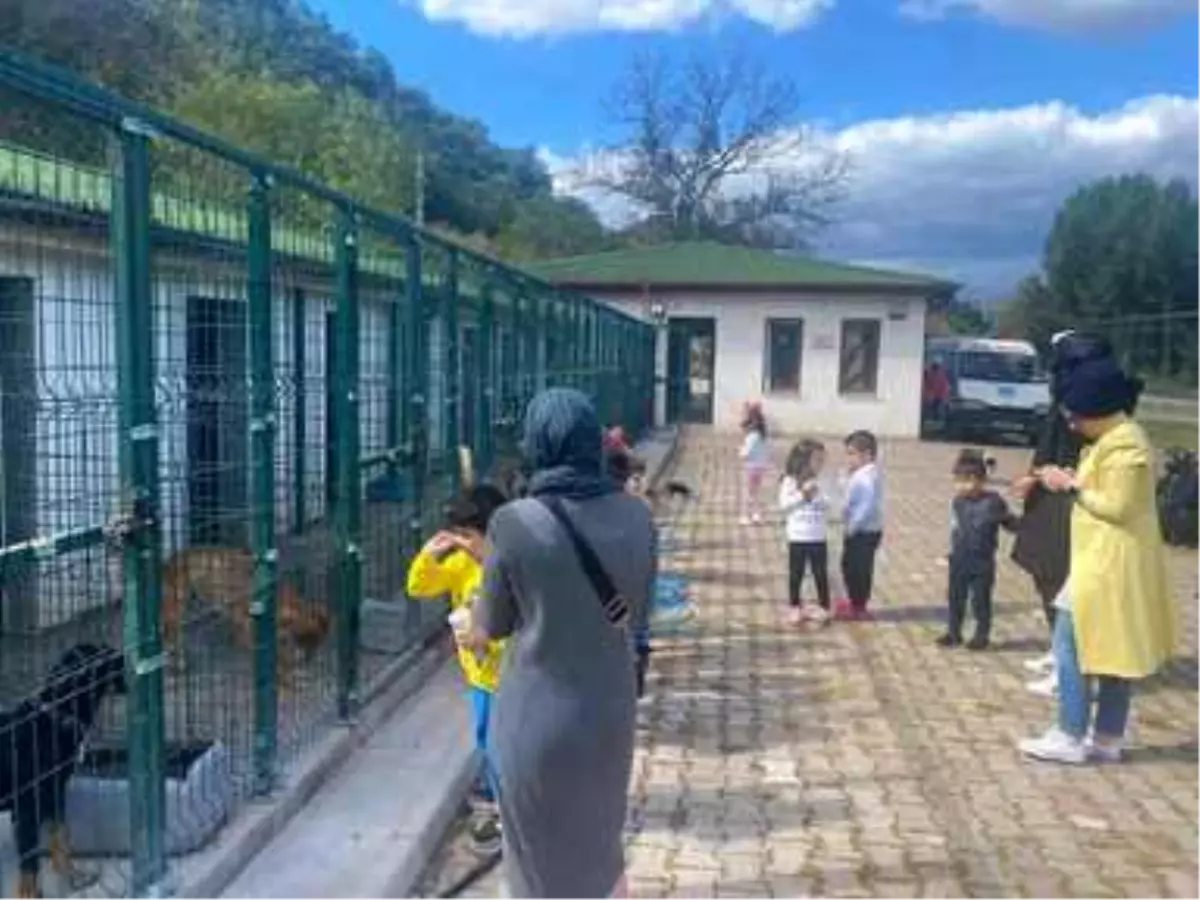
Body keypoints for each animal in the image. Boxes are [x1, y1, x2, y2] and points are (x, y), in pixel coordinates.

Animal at [0, 643, 125, 900]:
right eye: (107, 656)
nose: (125, 656)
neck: (58, 717)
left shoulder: (54, 796)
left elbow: (61, 839)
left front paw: (73, 875)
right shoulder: (27, 807)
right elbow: (29, 859)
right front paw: (28, 894)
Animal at [159, 547, 331, 686]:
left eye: (318, 642)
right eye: (308, 640)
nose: (308, 660)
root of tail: (173, 558)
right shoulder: (246, 623)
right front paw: (285, 675)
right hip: (175, 613)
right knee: (170, 640)